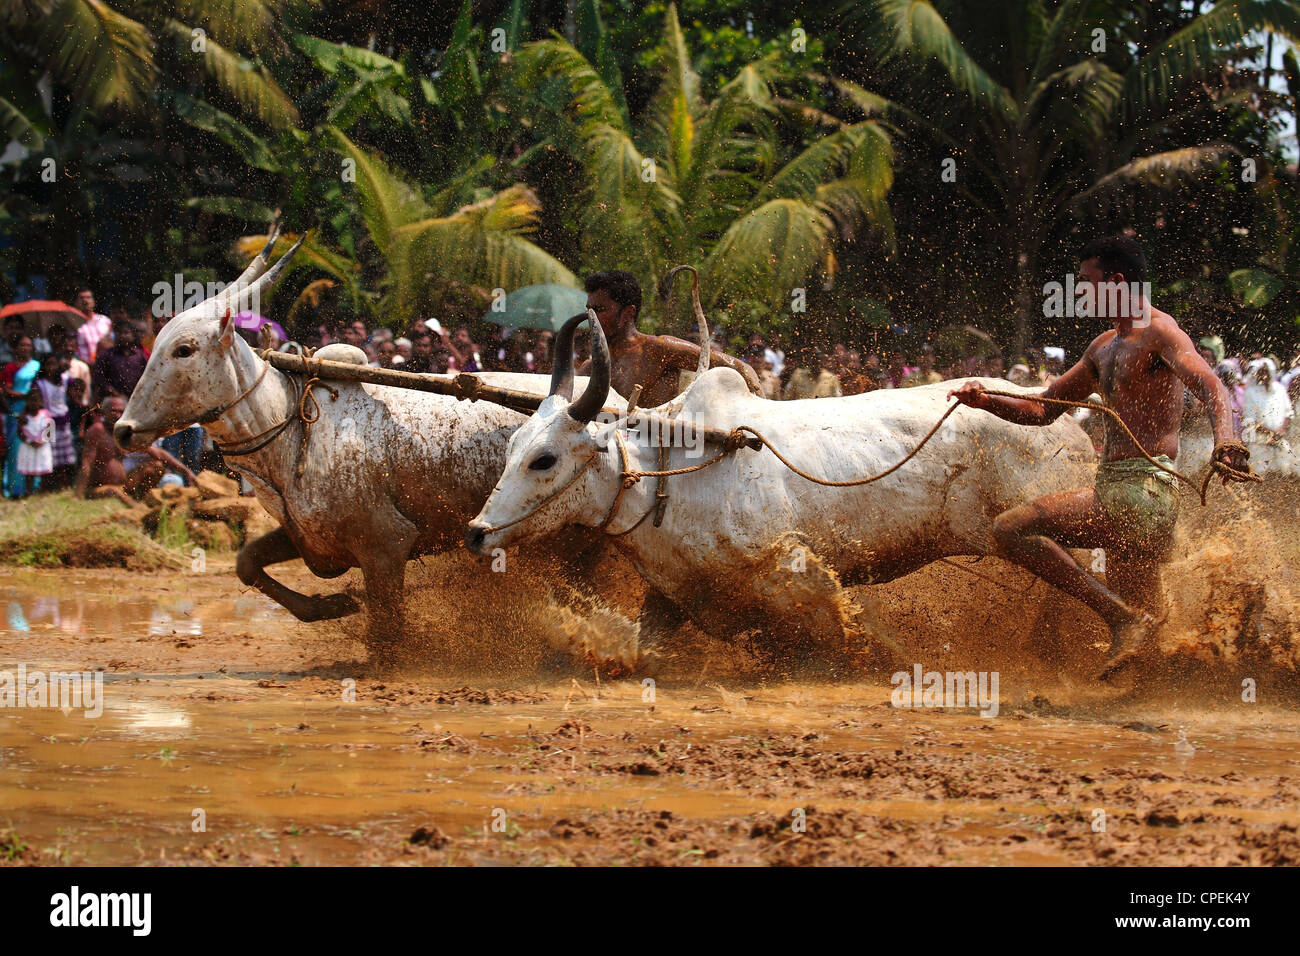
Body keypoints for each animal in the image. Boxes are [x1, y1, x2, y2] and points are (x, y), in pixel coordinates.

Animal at [119, 231, 626, 665]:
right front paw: (334, 604)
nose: (124, 430)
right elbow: (247, 563)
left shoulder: (385, 544)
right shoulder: (311, 536)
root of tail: (618, 407)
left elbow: (386, 630)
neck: (290, 431)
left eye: (184, 349)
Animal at [467, 314, 1097, 665]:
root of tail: (1063, 411)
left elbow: (841, 643)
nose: (476, 533)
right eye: (511, 447)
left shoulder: (799, 575)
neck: (667, 481)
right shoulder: (673, 596)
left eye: (544, 460)